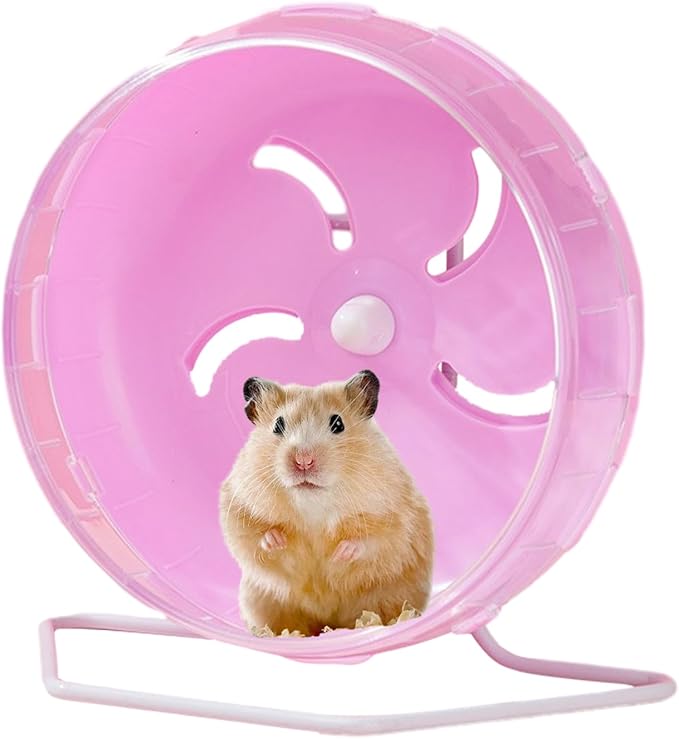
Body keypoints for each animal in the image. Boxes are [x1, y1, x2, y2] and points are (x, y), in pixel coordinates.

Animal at [219, 370, 434, 636]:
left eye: (338, 424)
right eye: (278, 425)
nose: (303, 461)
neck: (313, 504)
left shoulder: (395, 513)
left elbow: (376, 540)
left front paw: (341, 553)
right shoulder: (237, 503)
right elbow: (250, 534)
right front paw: (277, 540)